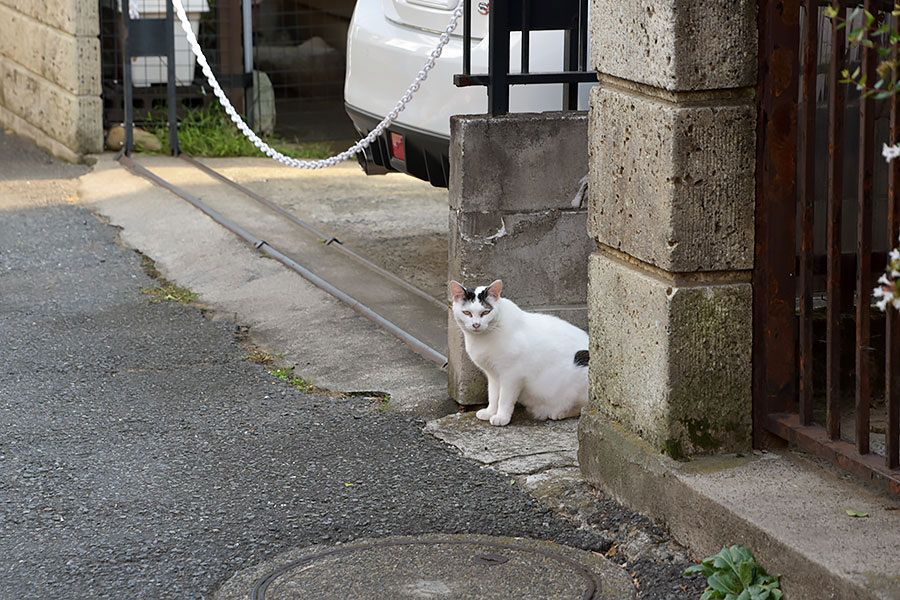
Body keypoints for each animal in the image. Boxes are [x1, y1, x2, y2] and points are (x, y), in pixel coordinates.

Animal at [450, 280, 592, 426]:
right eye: (467, 312)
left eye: (486, 312)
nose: (476, 324)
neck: (482, 339)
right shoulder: (493, 375)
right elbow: (493, 396)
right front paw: (490, 412)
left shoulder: (512, 375)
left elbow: (504, 399)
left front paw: (501, 417)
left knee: (581, 408)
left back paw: (560, 413)